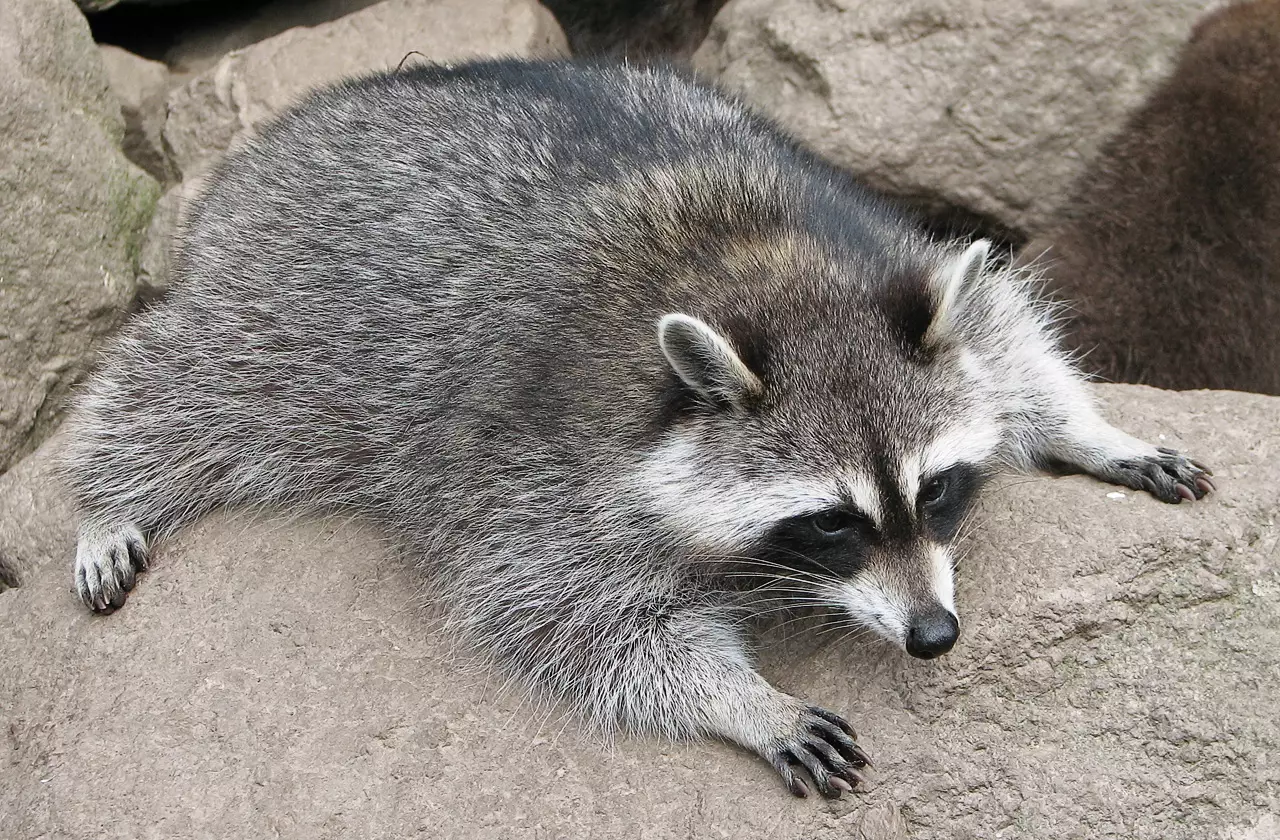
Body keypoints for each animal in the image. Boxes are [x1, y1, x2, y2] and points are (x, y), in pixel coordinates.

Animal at [64, 60, 1213, 799]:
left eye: (936, 490)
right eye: (832, 523)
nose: (933, 637)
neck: (765, 272)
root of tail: (280, 139)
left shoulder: (891, 257)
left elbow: (1010, 343)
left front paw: (1089, 428)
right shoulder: (539, 465)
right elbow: (566, 612)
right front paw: (742, 699)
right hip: (294, 311)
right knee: (187, 381)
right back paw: (103, 492)